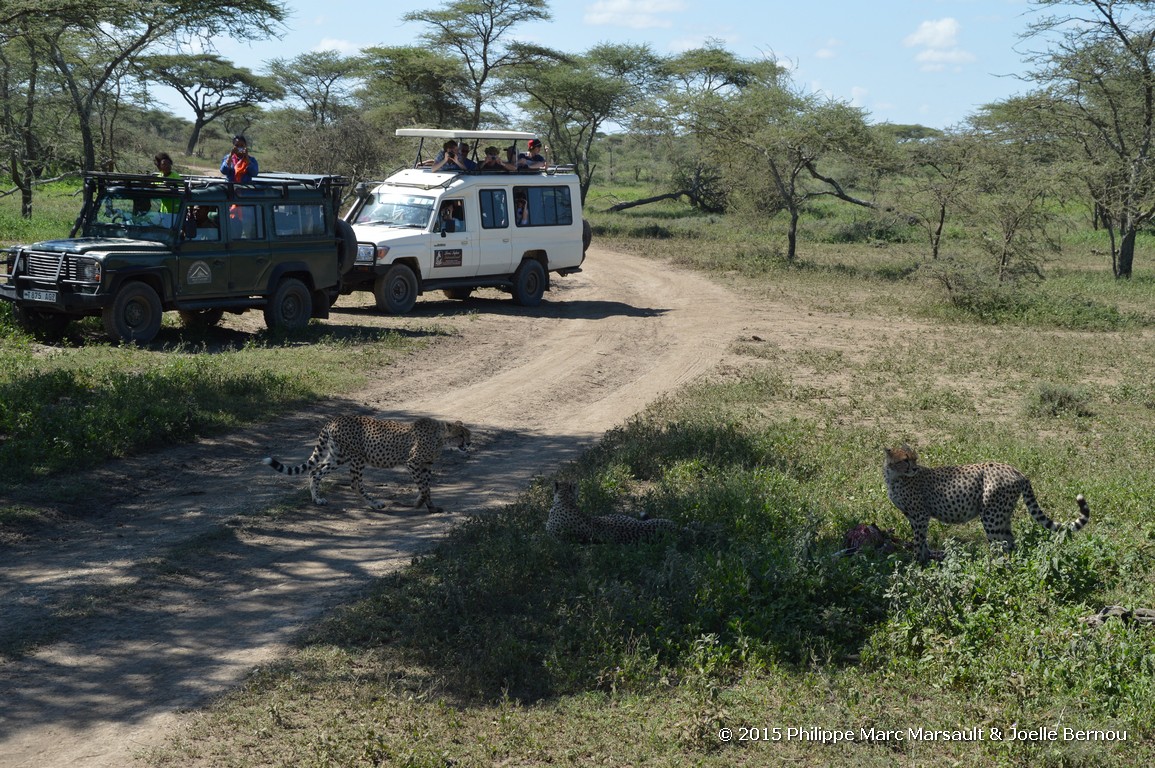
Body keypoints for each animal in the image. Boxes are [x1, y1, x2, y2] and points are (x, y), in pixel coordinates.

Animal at [264, 413, 468, 508]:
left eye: (468, 434)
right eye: (461, 435)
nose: (469, 443)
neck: (440, 437)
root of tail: (334, 419)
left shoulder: (425, 465)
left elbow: (426, 487)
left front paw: (430, 505)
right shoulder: (413, 463)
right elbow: (424, 487)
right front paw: (420, 504)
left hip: (338, 457)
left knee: (315, 471)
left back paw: (317, 499)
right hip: (357, 457)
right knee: (355, 484)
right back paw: (374, 504)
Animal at [882, 443, 1090, 563]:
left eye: (914, 458)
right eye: (905, 460)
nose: (915, 468)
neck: (894, 477)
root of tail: (1016, 470)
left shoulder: (920, 516)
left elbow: (919, 540)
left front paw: (916, 564)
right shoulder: (913, 517)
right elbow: (922, 540)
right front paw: (925, 560)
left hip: (991, 515)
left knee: (999, 545)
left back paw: (990, 568)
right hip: (1002, 514)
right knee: (1010, 542)